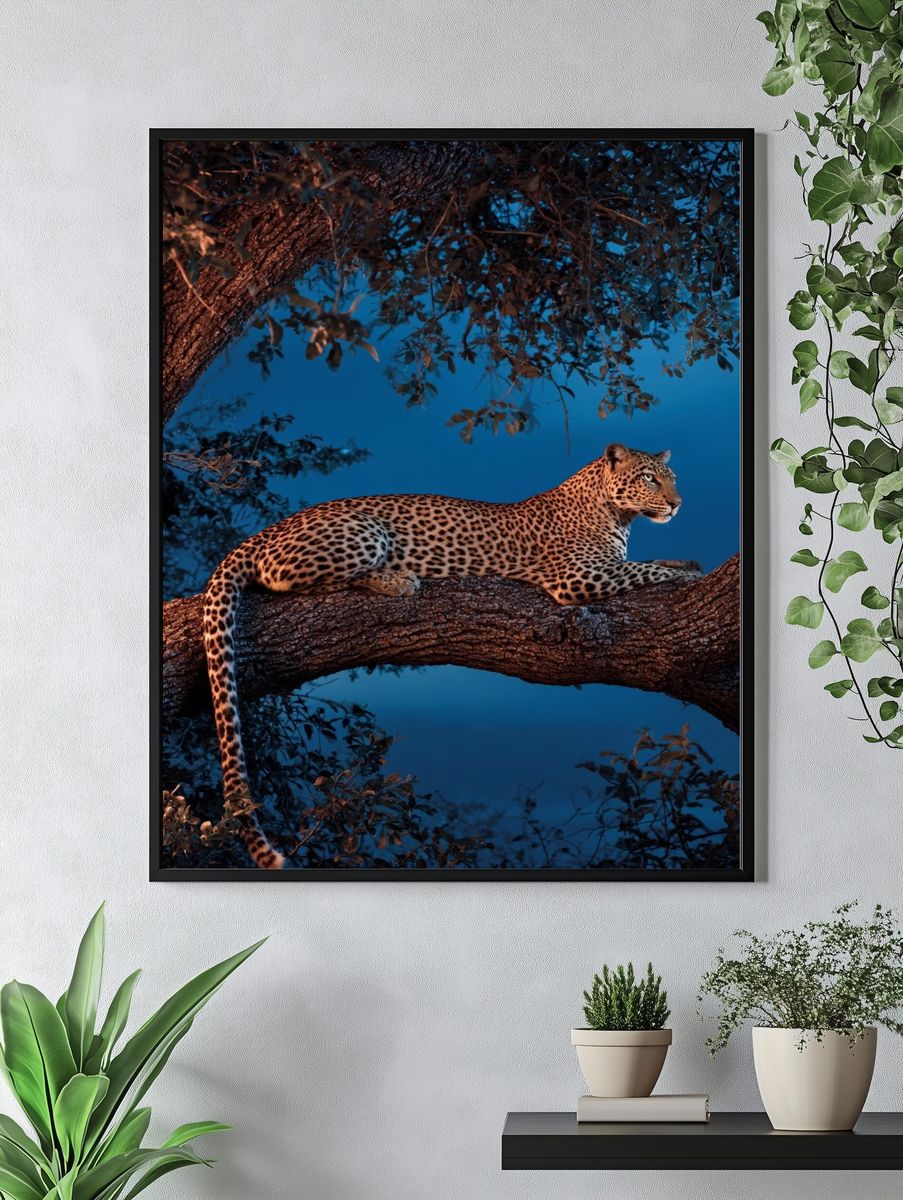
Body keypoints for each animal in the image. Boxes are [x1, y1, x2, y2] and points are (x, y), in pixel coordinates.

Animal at [202, 442, 701, 869]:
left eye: (673, 478)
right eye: (650, 479)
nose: (678, 504)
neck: (617, 514)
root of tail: (265, 532)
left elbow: (655, 562)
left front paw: (688, 563)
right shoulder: (579, 577)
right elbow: (646, 570)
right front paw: (689, 578)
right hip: (364, 534)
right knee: (296, 582)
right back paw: (397, 580)